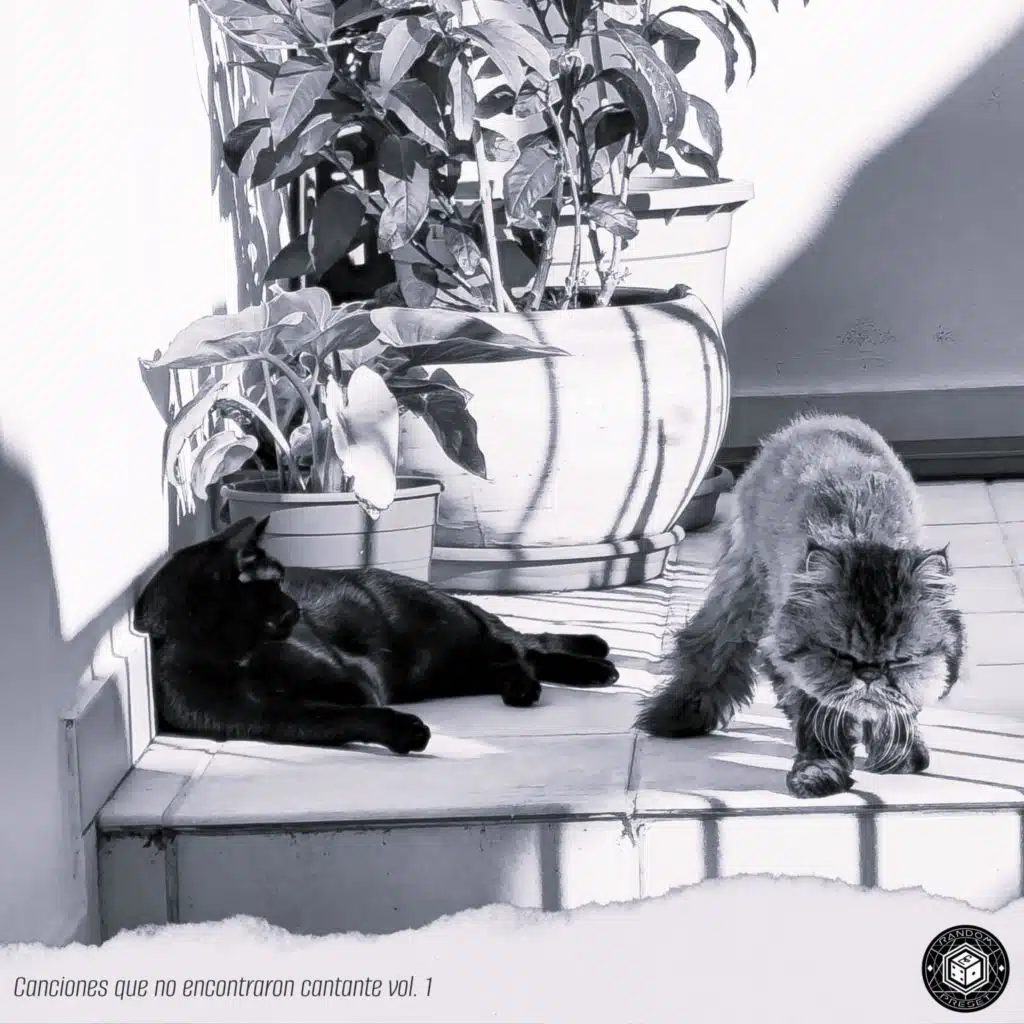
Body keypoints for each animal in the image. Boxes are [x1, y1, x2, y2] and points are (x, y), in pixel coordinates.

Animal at [134, 516, 619, 755]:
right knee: (514, 660)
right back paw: (537, 684)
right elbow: (339, 720)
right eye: (274, 584)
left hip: (454, 640)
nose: (296, 608)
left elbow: (355, 701)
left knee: (522, 644)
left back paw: (595, 661)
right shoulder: (267, 716)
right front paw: (403, 732)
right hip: (448, 671)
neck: (234, 656)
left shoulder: (355, 680)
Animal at [636, 413, 966, 798]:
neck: (864, 539)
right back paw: (678, 714)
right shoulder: (798, 662)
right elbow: (818, 715)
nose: (869, 675)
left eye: (899, 660)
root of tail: (817, 421)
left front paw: (898, 750)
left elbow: (898, 705)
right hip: (744, 589)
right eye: (840, 655)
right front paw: (820, 772)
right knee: (708, 645)